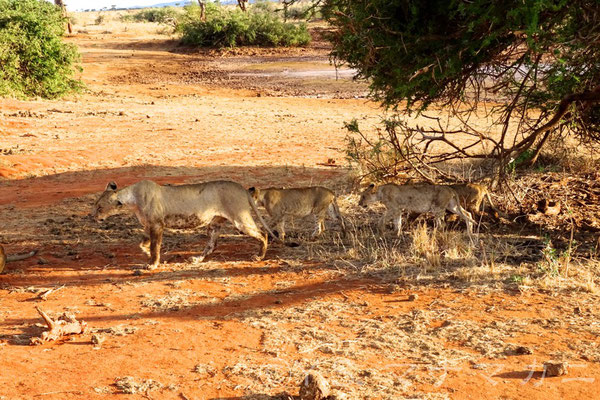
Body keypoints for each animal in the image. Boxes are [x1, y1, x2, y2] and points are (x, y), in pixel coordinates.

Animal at [92, 180, 280, 268]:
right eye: (95, 205)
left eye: (100, 207)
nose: (93, 216)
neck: (132, 199)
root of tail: (241, 187)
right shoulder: (148, 226)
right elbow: (143, 244)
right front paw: (146, 254)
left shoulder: (157, 225)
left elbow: (155, 247)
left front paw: (152, 264)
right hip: (214, 225)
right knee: (212, 245)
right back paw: (196, 259)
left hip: (240, 220)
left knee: (263, 233)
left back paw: (259, 256)